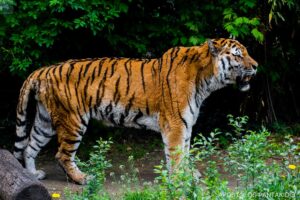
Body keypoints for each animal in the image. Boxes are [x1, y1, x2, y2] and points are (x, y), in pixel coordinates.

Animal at [13, 38, 258, 184]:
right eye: (238, 54)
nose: (256, 66)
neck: (206, 79)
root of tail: (44, 69)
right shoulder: (175, 124)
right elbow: (176, 154)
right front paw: (179, 179)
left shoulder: (186, 123)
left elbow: (186, 152)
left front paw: (189, 174)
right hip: (72, 120)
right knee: (62, 155)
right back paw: (83, 178)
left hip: (45, 120)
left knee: (29, 146)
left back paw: (32, 175)